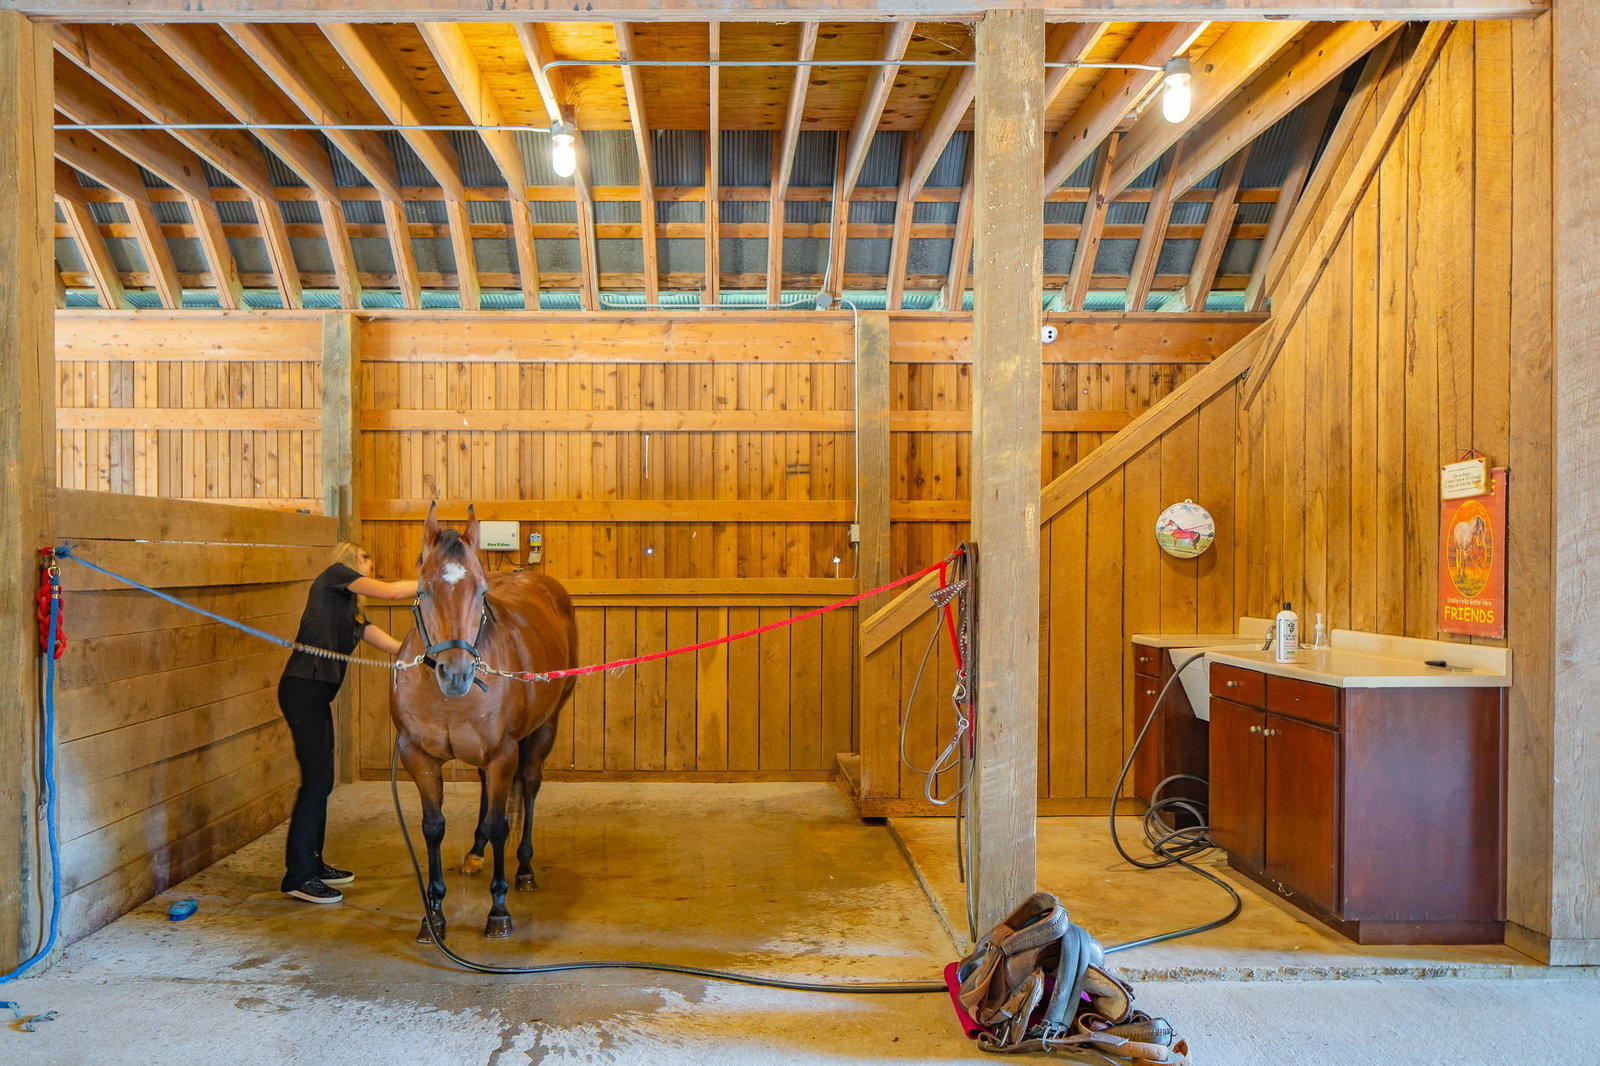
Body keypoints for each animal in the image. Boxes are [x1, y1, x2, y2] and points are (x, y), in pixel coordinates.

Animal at [391, 503, 577, 941]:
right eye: (423, 590)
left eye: (480, 591)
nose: (456, 674)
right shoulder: (417, 757)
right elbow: (433, 826)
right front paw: (434, 914)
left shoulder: (502, 755)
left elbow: (499, 824)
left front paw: (498, 910)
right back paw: (476, 853)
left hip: (543, 730)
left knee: (529, 787)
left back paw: (524, 869)